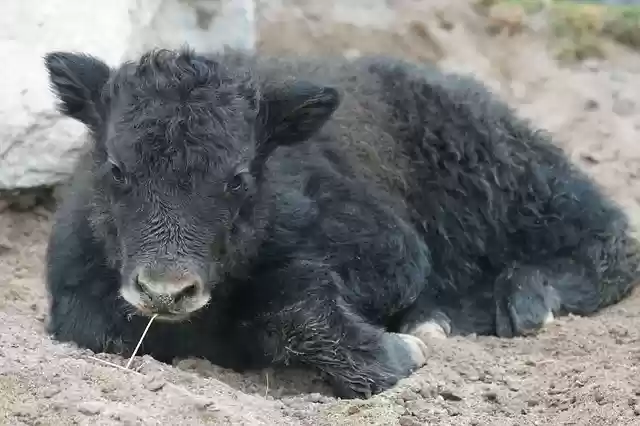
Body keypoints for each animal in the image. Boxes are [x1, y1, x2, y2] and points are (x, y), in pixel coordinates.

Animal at [42, 47, 640, 399]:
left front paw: (401, 350)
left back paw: (524, 299)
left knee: (605, 238)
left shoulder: (391, 250)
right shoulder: (76, 305)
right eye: (116, 168)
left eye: (238, 177)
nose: (165, 289)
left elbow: (293, 304)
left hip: (510, 178)